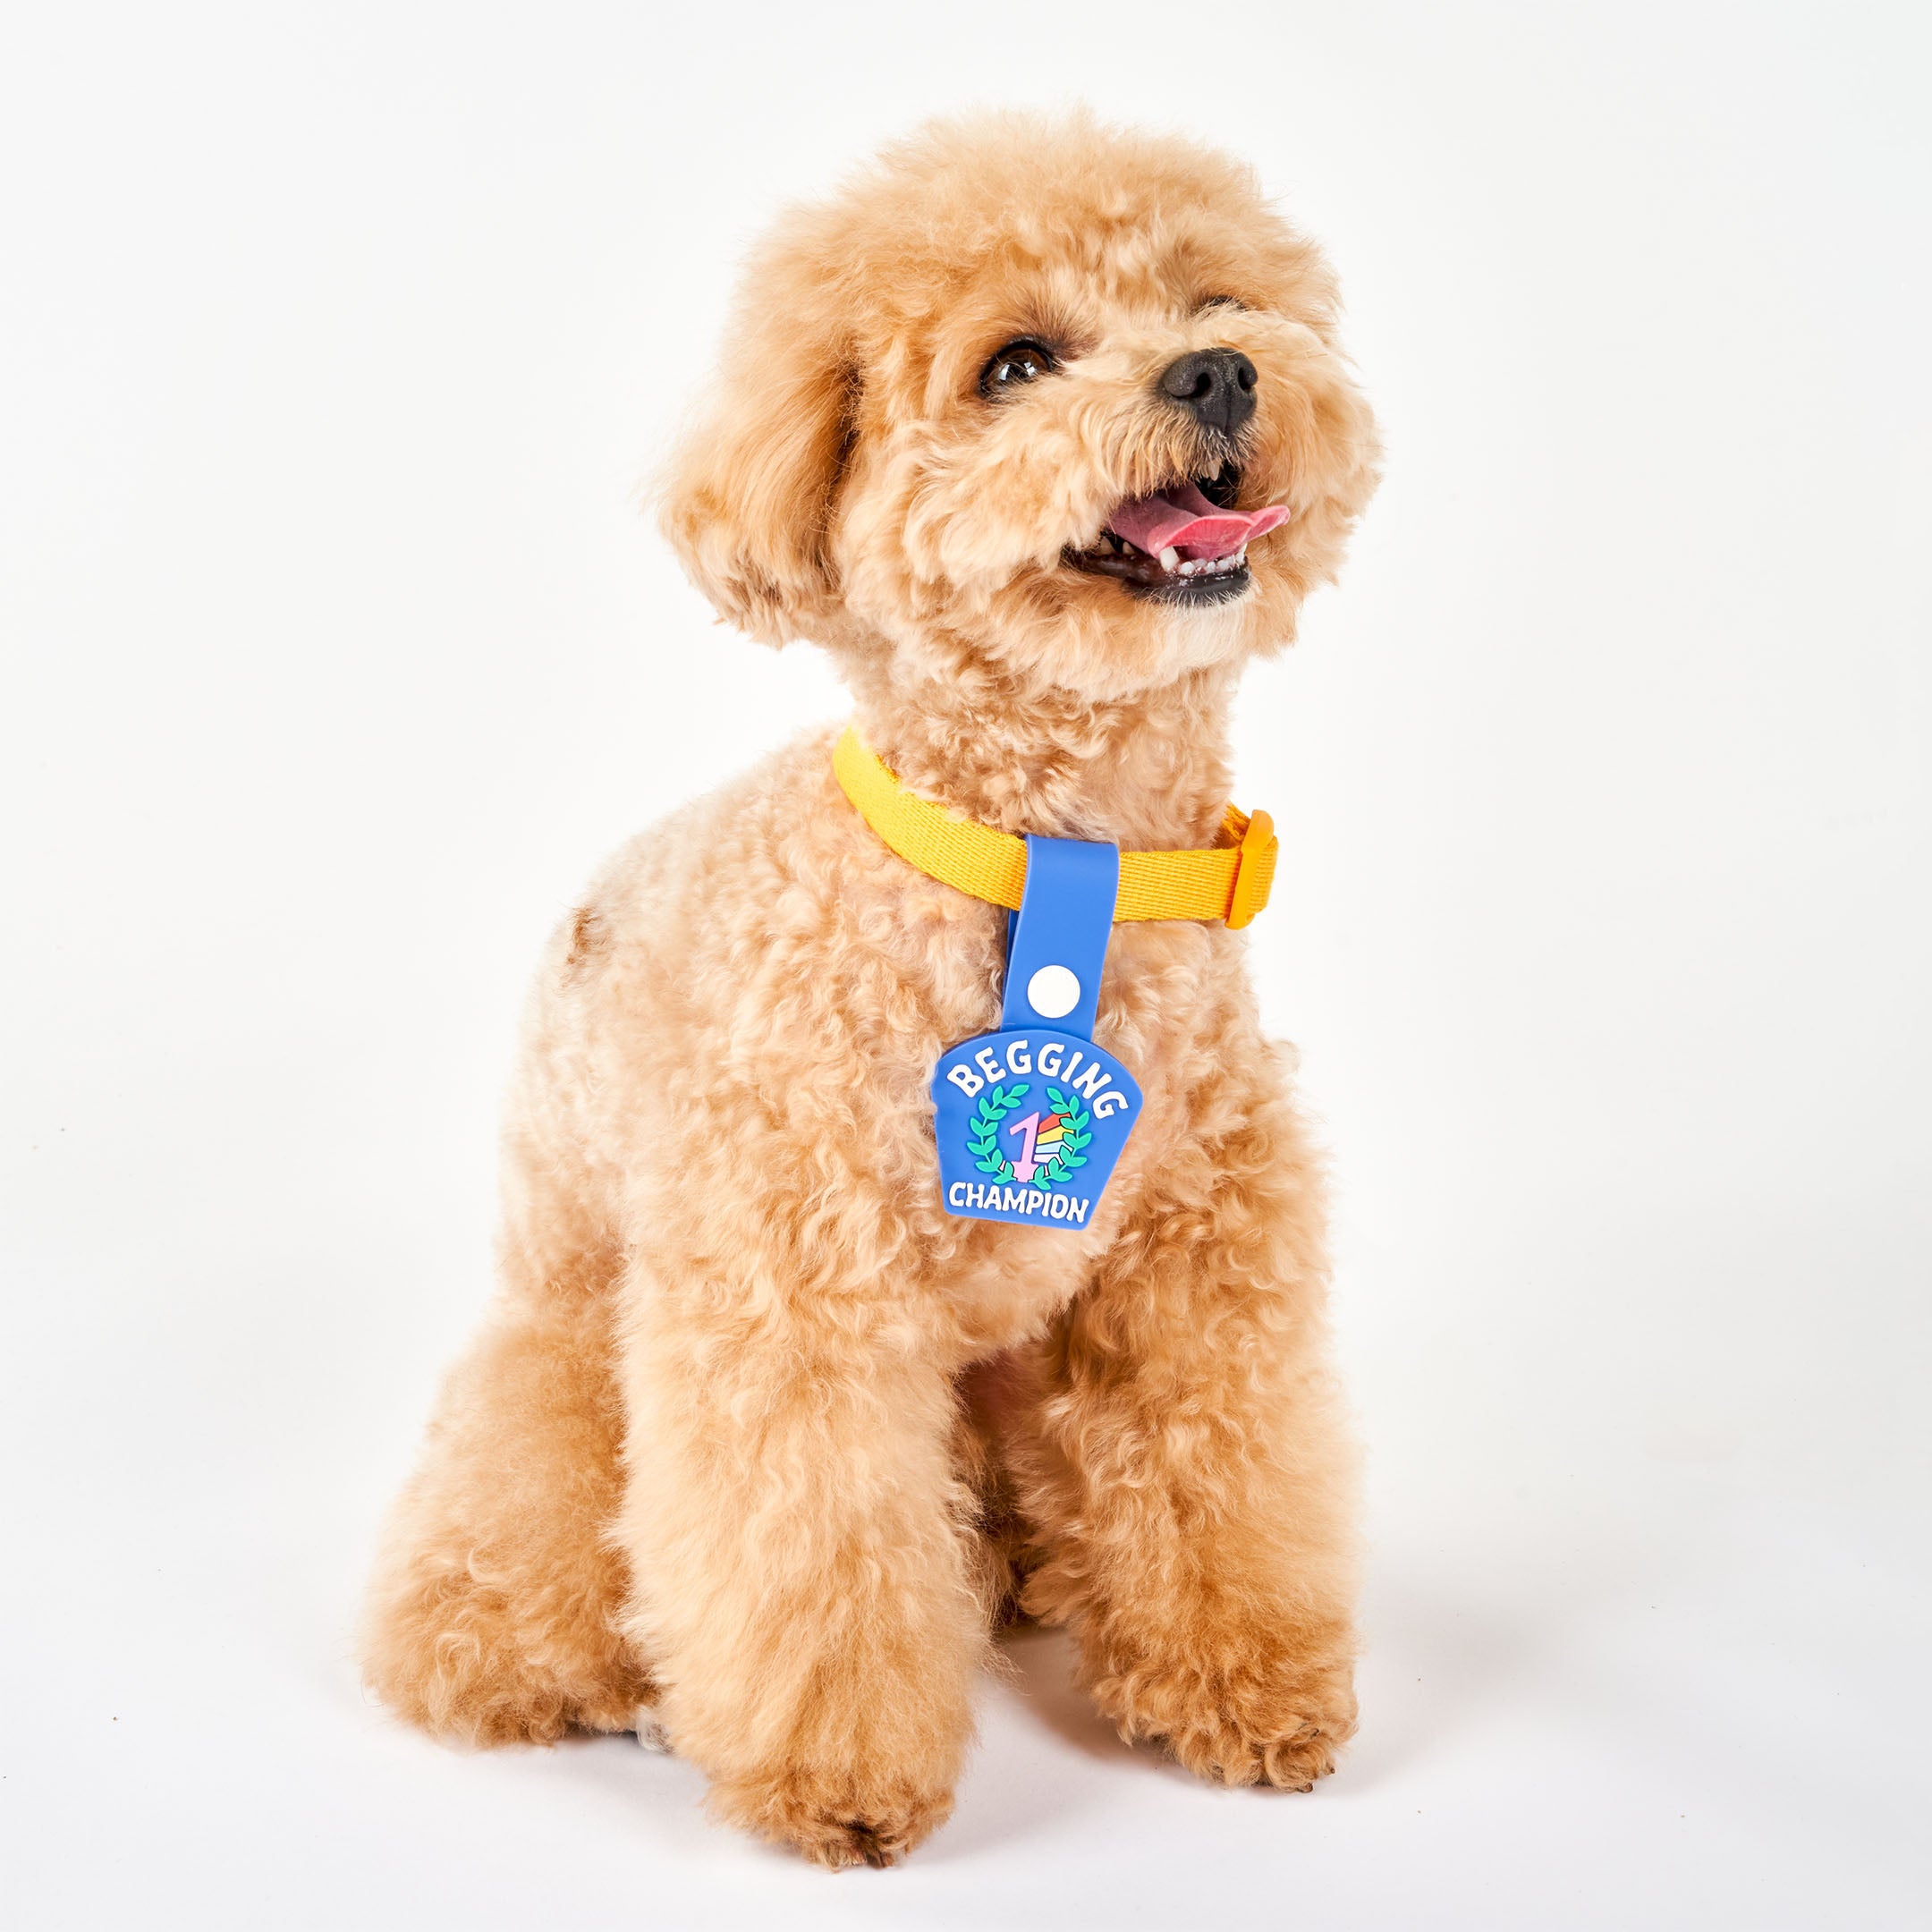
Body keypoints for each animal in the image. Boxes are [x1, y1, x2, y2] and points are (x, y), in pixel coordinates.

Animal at [363, 109, 1383, 1869]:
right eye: (1015, 365)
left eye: (1215, 299)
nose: (1214, 374)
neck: (1047, 871)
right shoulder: (791, 1295)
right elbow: (814, 1549)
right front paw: (837, 1782)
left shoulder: (1197, 1264)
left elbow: (1213, 1473)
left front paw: (1245, 1686)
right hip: (572, 1341)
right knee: (492, 1554)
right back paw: (546, 1661)